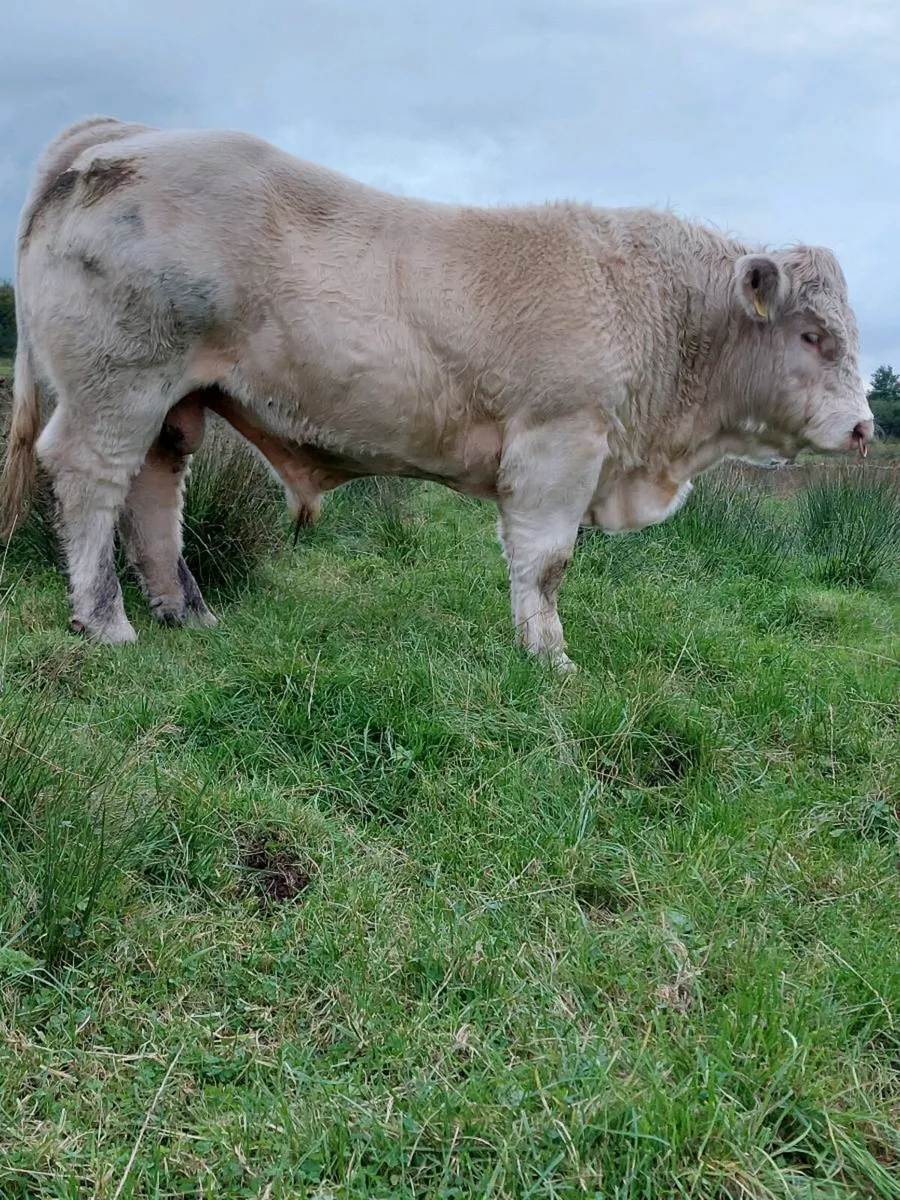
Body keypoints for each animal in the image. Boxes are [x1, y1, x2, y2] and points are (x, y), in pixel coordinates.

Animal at [0, 116, 874, 671]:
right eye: (811, 335)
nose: (866, 427)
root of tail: (121, 137)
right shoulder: (560, 442)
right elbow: (546, 561)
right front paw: (550, 659)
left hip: (172, 402)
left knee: (155, 490)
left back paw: (187, 612)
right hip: (119, 383)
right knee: (92, 479)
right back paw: (105, 622)